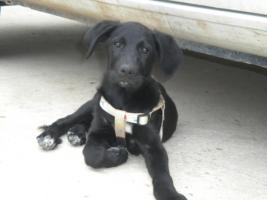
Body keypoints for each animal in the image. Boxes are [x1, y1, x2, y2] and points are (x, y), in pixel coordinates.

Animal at [36, 21, 187, 200]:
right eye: (117, 44)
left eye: (145, 50)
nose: (127, 71)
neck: (124, 101)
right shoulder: (98, 134)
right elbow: (92, 156)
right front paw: (118, 155)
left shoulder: (153, 145)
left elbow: (162, 173)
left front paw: (169, 194)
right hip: (91, 104)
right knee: (67, 120)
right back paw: (49, 136)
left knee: (86, 122)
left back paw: (76, 133)